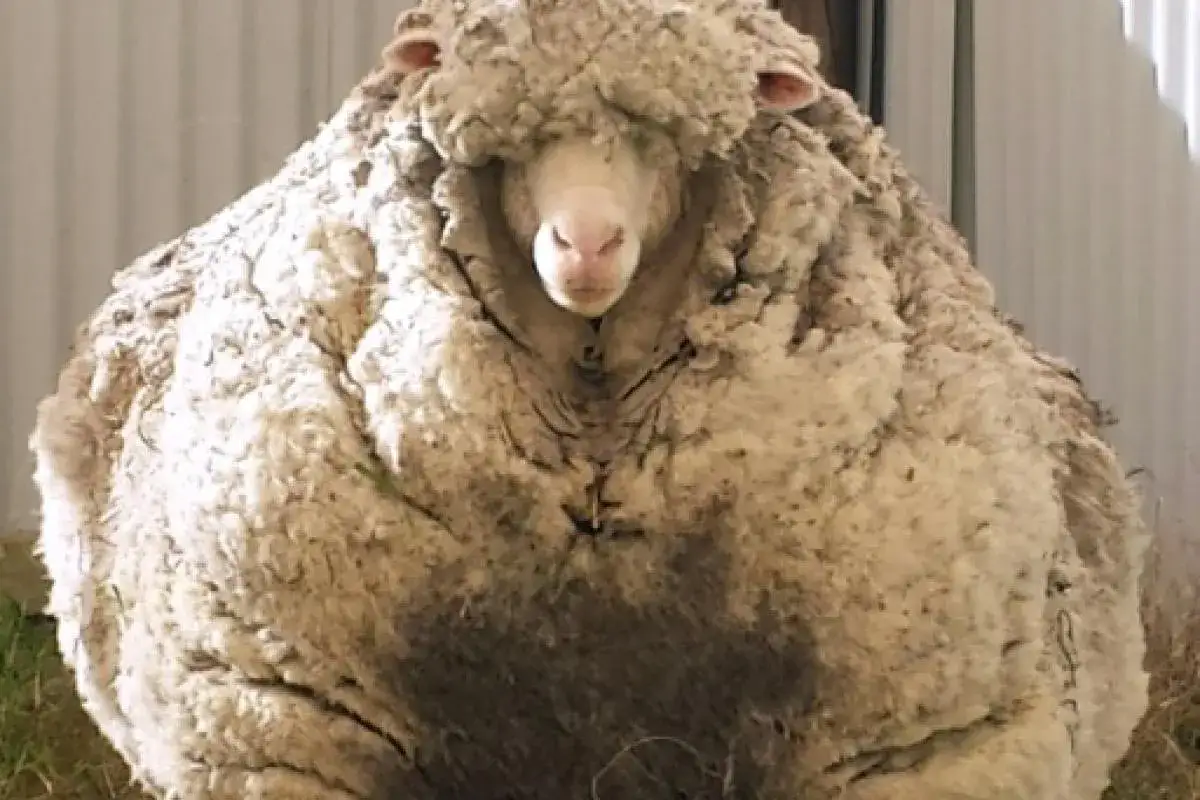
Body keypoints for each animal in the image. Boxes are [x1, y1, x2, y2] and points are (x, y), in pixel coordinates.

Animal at [29, 0, 1150, 798]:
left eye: (671, 144)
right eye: (510, 147)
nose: (588, 245)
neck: (595, 426)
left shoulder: (922, 747)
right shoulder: (280, 730)